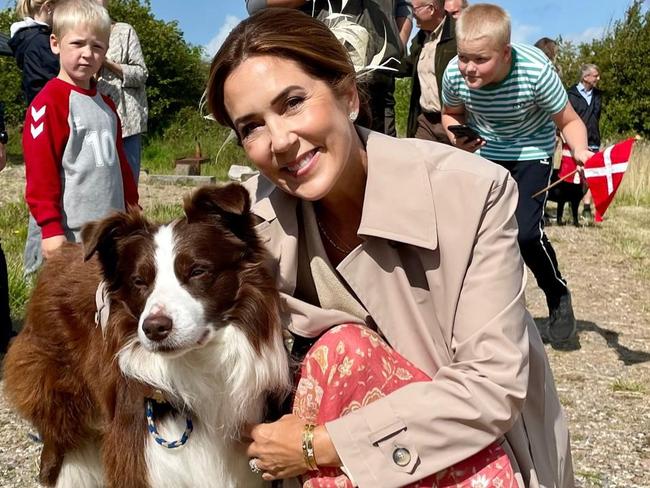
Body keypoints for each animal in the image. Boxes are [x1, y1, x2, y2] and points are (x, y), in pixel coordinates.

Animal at [2, 184, 290, 488]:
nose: (154, 328)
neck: (199, 368)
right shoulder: (142, 452)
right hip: (60, 405)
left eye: (197, 271)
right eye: (139, 281)